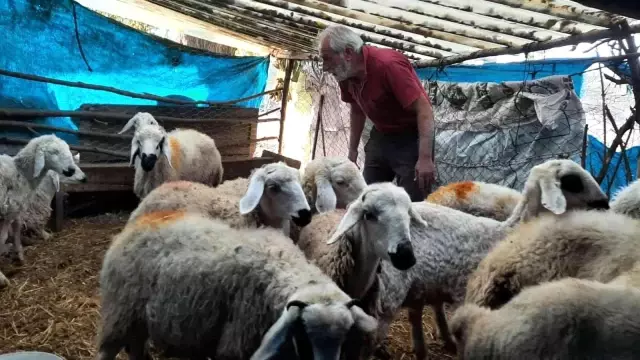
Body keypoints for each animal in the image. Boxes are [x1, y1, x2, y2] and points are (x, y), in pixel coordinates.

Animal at [0, 134, 87, 288]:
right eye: (54, 152)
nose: (83, 178)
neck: (21, 172)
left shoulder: (16, 211)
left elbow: (16, 229)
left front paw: (19, 253)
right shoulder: (11, 210)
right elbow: (6, 236)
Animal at [95, 210, 380, 358]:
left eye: (343, 339)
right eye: (303, 337)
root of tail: (141, 221)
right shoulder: (236, 344)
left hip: (138, 318)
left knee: (135, 347)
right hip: (119, 312)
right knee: (109, 349)